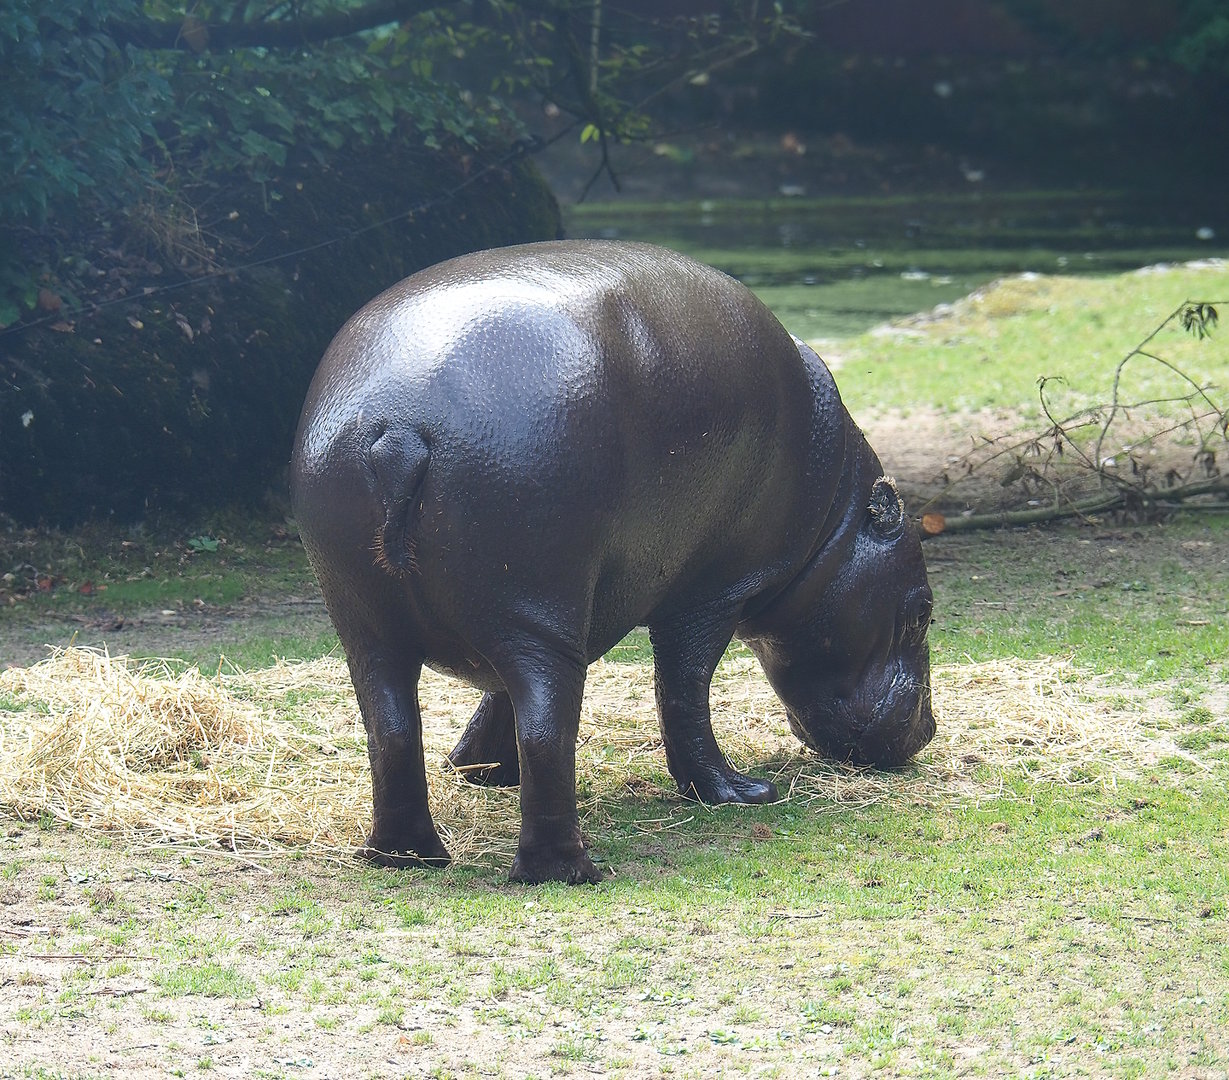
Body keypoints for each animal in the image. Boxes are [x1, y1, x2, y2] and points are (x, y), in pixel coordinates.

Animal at [290, 239, 934, 884]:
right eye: (923, 612)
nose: (927, 730)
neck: (835, 523)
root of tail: (398, 430)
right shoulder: (711, 591)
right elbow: (683, 688)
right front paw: (743, 793)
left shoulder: (578, 611)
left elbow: (497, 696)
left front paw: (480, 770)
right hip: (537, 612)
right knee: (547, 731)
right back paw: (570, 870)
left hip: (378, 625)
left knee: (393, 730)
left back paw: (405, 856)